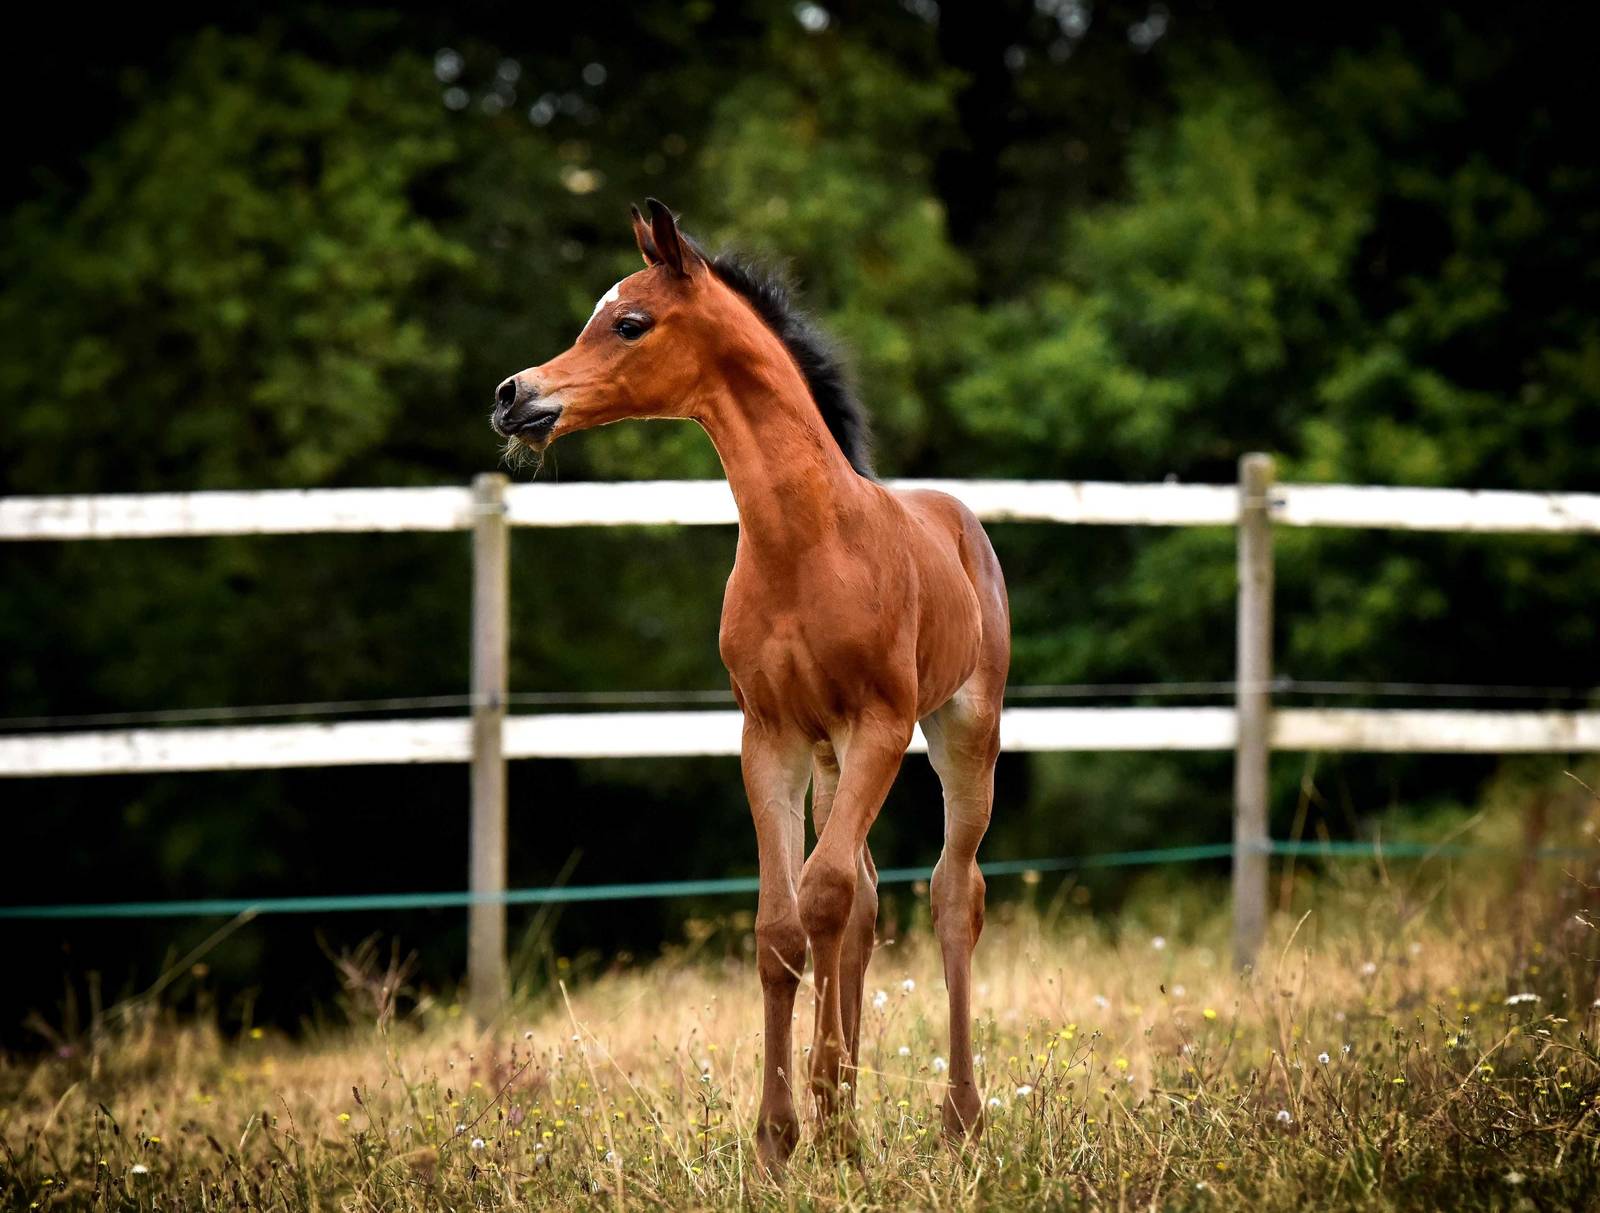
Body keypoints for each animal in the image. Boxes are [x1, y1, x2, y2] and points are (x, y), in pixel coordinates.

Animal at [492, 199, 1010, 1172]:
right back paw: (849, 1115)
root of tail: (963, 520)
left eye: (629, 323)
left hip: (964, 730)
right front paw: (784, 1134)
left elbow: (824, 894)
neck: (806, 540)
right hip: (833, 756)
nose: (513, 396)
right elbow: (785, 922)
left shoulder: (881, 724)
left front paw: (820, 1114)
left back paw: (960, 1118)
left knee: (951, 893)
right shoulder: (769, 734)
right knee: (868, 901)